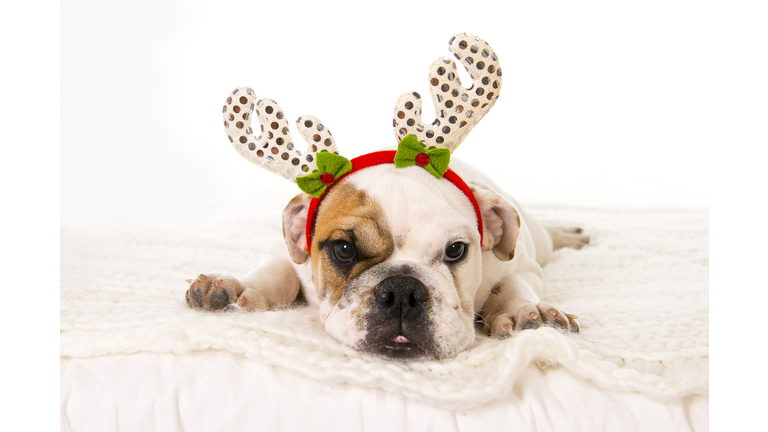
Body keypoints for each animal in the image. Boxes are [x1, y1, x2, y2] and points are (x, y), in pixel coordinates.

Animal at [184, 32, 588, 360]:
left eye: (456, 250)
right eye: (344, 249)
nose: (402, 291)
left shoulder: (524, 266)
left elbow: (512, 285)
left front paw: (527, 312)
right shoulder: (284, 253)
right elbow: (275, 272)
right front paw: (234, 288)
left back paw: (572, 234)